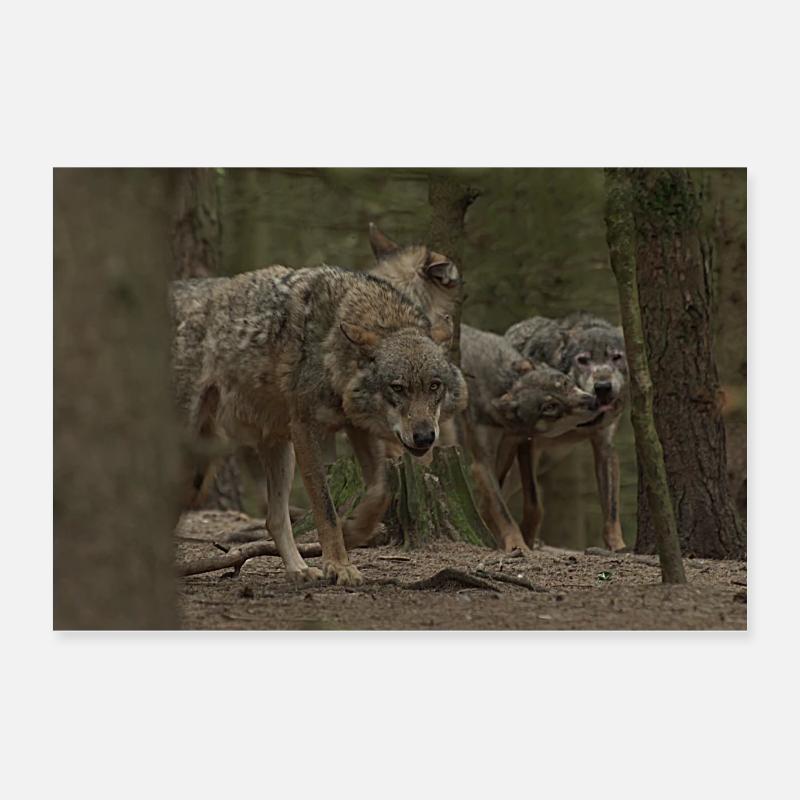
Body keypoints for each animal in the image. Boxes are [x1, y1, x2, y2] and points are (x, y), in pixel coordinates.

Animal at [172, 265, 467, 585]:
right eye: (398, 388)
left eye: (434, 386)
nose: (425, 437)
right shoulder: (306, 430)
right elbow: (326, 510)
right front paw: (339, 565)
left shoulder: (358, 428)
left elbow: (381, 491)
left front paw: (354, 532)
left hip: (271, 453)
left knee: (274, 520)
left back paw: (299, 569)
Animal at [459, 324, 599, 552]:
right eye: (550, 407)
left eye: (565, 383)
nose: (593, 402)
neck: (504, 386)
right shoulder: (481, 463)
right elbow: (501, 509)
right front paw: (516, 544)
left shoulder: (522, 444)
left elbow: (534, 504)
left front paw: (528, 537)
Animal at [503, 312, 628, 550]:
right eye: (583, 360)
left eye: (616, 357)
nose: (603, 387)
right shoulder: (529, 444)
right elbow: (535, 504)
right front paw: (527, 540)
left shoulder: (605, 445)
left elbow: (612, 509)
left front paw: (618, 547)